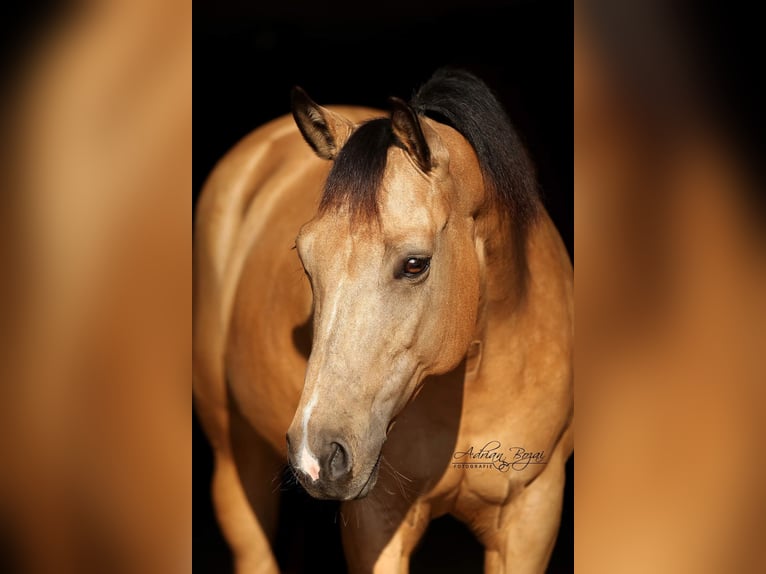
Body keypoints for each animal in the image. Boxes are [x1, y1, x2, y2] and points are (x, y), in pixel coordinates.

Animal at [193, 67, 573, 573]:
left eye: (415, 264)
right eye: (306, 261)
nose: (316, 455)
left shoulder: (531, 516)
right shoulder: (378, 520)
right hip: (235, 464)